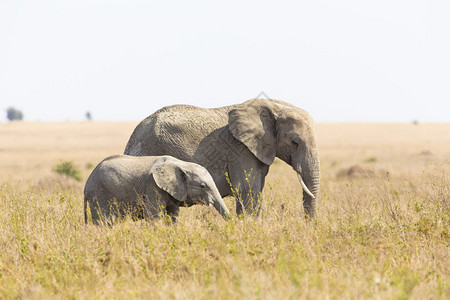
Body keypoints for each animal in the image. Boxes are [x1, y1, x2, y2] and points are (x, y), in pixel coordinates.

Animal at [84, 156, 230, 224]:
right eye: (202, 186)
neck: (182, 164)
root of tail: (86, 184)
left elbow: (173, 215)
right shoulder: (152, 186)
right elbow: (154, 216)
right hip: (99, 193)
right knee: (104, 221)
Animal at [124, 98, 320, 218]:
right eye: (294, 142)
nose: (309, 225)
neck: (274, 107)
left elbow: (255, 192)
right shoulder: (240, 150)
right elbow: (248, 190)